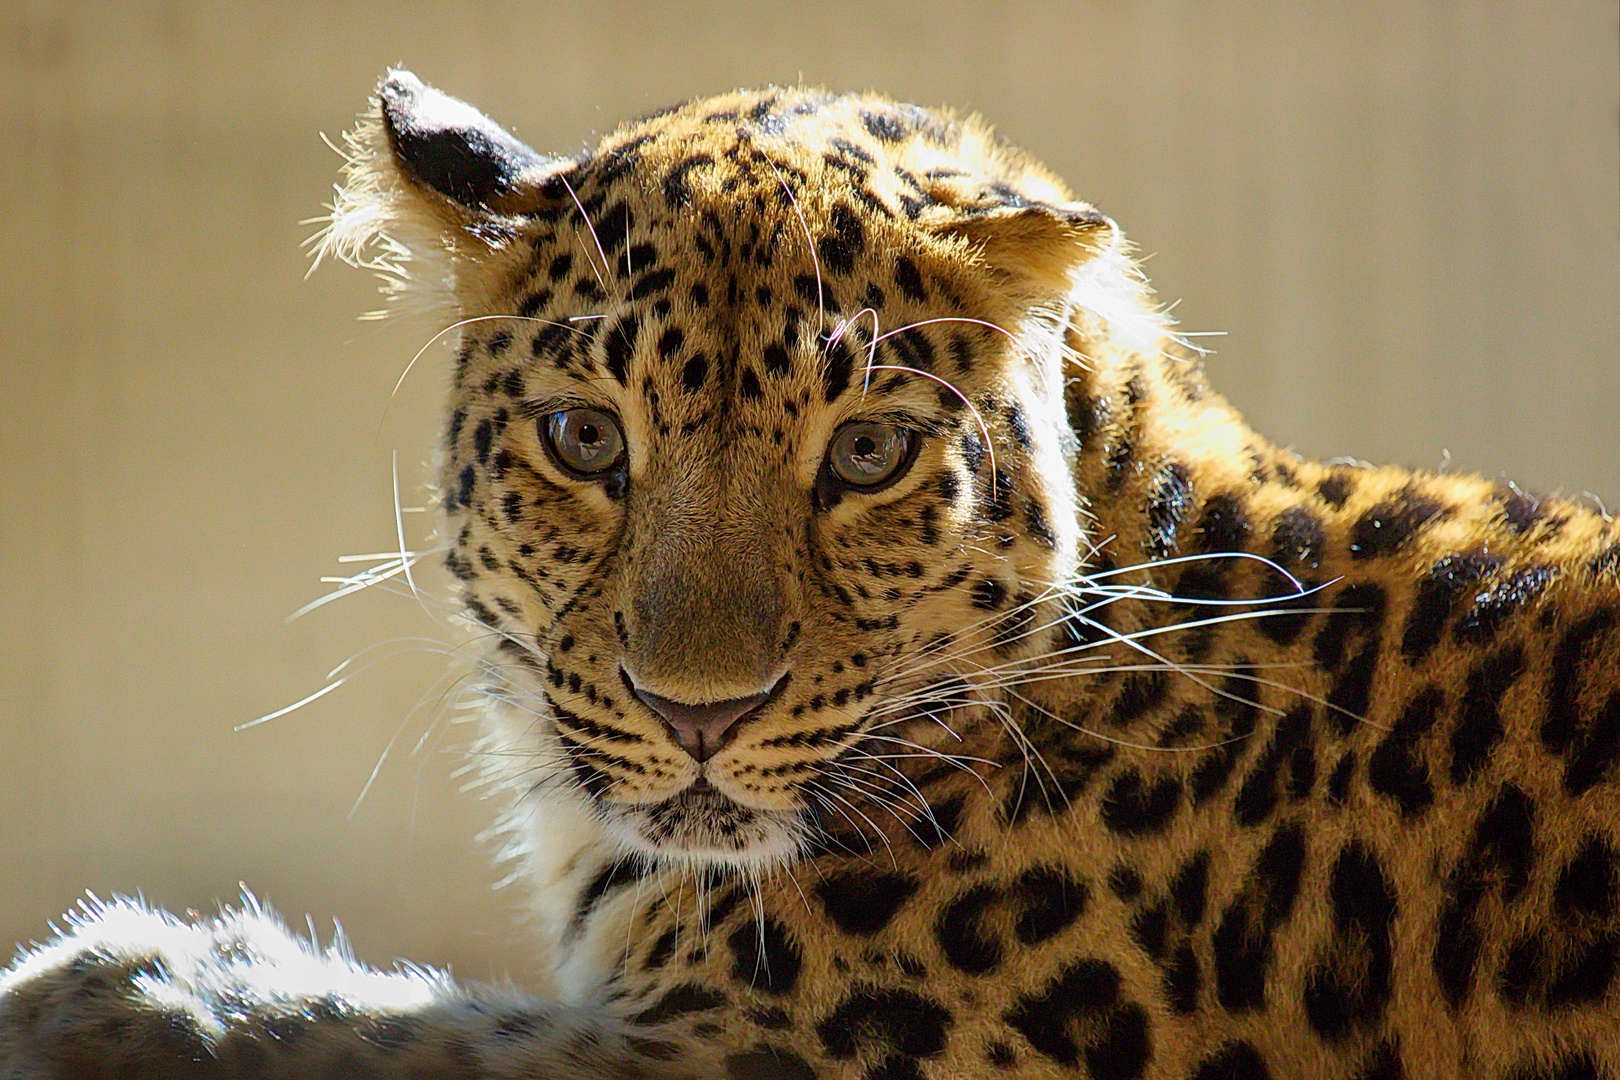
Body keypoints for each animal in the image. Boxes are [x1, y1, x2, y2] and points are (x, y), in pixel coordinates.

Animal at [3, 71, 1620, 1075]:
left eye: (867, 456)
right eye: (586, 437)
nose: (698, 714)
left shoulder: (785, 1052)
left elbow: (420, 1039)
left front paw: (115, 984)